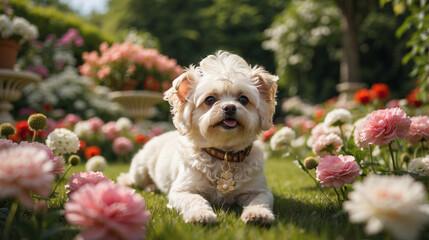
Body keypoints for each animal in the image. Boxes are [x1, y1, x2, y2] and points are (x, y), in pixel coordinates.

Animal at [117, 50, 278, 223]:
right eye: (210, 99)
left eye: (243, 99)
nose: (229, 107)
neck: (224, 155)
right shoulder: (182, 190)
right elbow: (195, 200)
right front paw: (200, 214)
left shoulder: (260, 190)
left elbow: (260, 201)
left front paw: (258, 214)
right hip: (140, 170)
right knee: (132, 179)